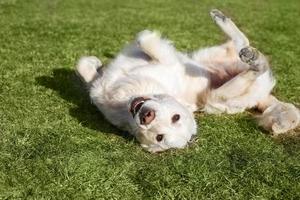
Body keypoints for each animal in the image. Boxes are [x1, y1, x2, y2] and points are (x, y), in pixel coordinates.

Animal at [76, 9, 298, 153]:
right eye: (175, 118)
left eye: (160, 136)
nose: (146, 117)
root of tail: (264, 96)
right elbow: (83, 64)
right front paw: (95, 64)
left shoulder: (168, 60)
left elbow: (145, 37)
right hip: (207, 58)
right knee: (241, 43)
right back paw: (223, 21)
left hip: (216, 99)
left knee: (257, 63)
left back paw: (254, 58)